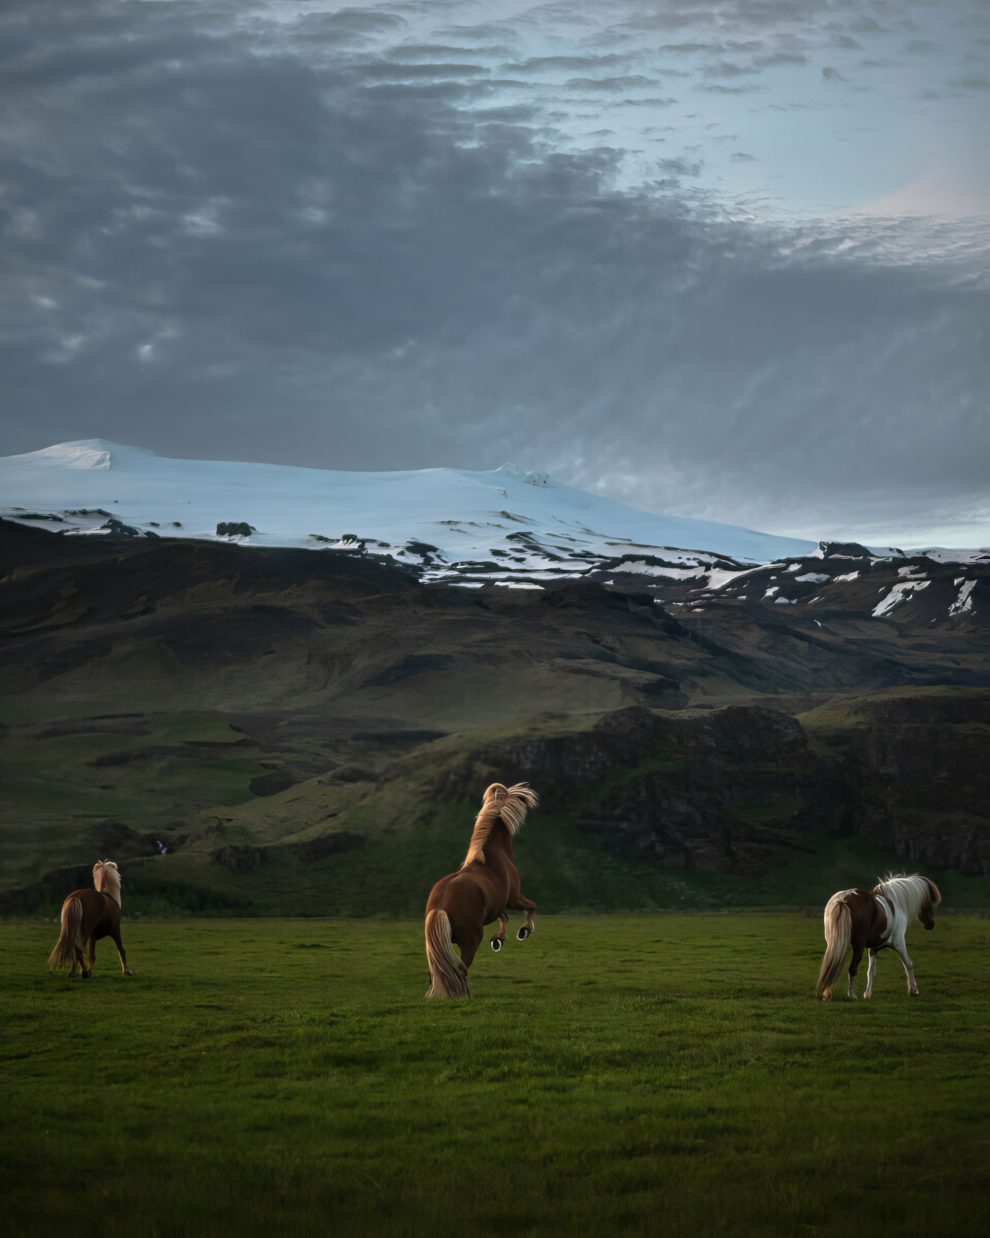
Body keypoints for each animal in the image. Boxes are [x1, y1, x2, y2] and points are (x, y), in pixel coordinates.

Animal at [420, 782, 537, 995]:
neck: (493, 857)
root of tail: (441, 904)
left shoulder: (498, 906)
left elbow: (504, 917)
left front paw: (498, 940)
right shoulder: (514, 898)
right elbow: (531, 906)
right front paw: (523, 931)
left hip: (434, 946)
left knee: (435, 972)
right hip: (471, 940)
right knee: (460, 970)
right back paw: (464, 995)